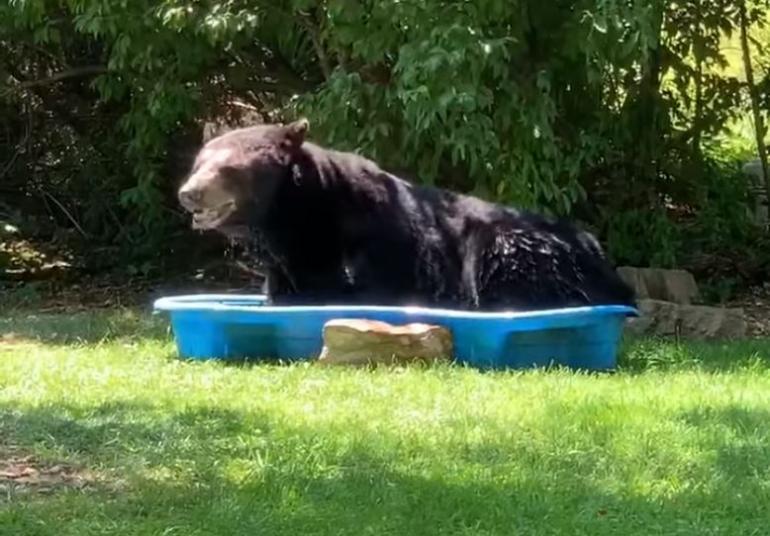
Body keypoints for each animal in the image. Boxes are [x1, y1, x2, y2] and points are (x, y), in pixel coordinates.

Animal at [177, 117, 632, 310]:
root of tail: (599, 251)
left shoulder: (369, 242)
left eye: (228, 168)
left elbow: (345, 285)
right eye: (199, 162)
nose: (189, 194)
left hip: (515, 242)